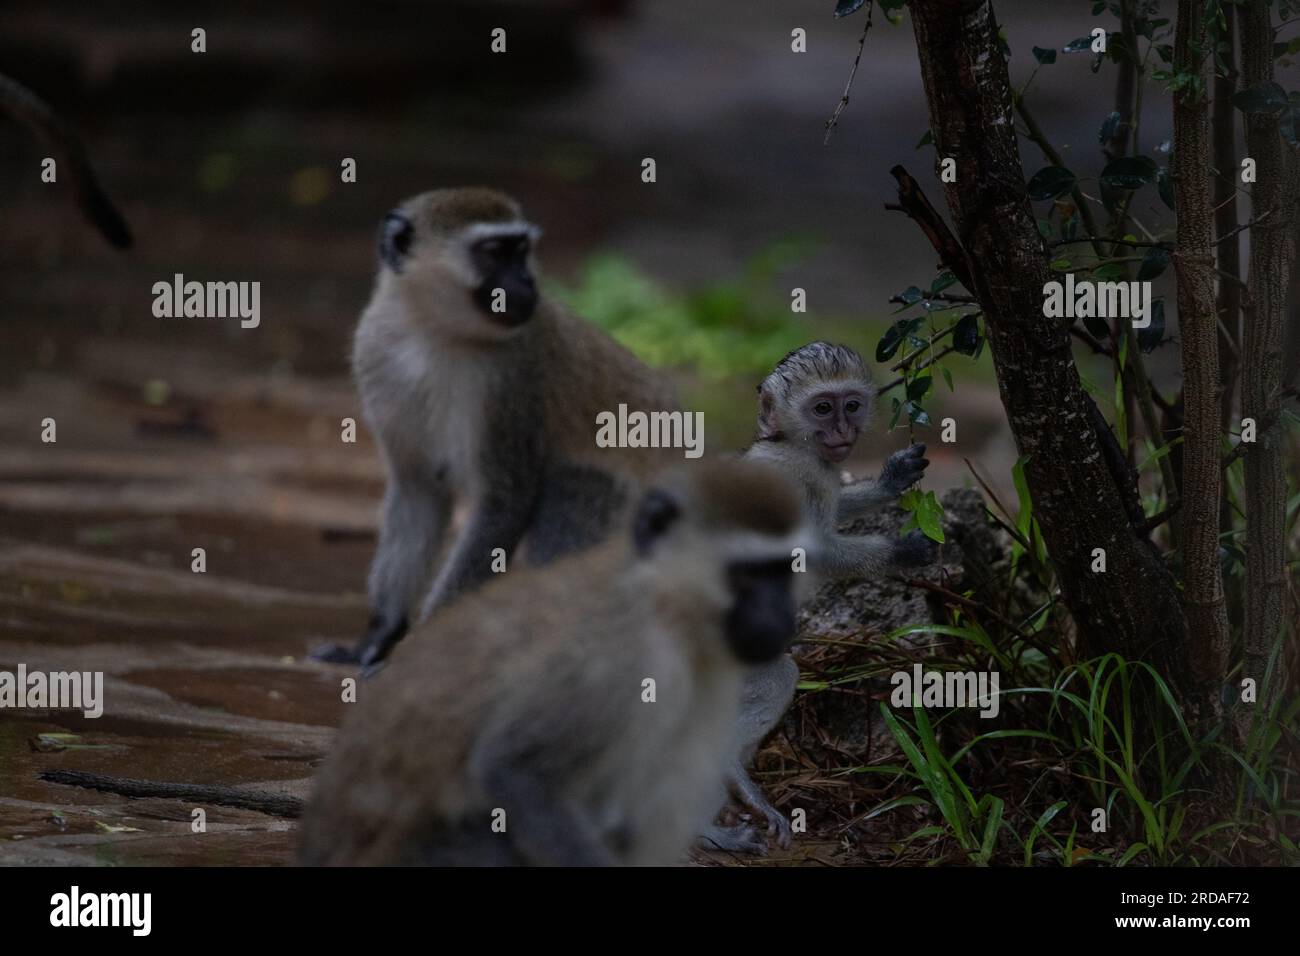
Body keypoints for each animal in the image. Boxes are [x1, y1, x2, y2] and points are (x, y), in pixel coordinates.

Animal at [311, 188, 680, 668]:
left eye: (521, 251)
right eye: (494, 252)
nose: (528, 283)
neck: (431, 333)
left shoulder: (512, 379)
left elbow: (503, 503)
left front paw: (426, 649)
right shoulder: (375, 349)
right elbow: (418, 491)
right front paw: (379, 635)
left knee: (573, 490)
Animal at [701, 341, 935, 854]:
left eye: (851, 405)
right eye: (822, 409)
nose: (843, 430)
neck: (788, 443)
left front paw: (891, 479)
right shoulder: (793, 477)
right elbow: (815, 549)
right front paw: (905, 551)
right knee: (779, 676)